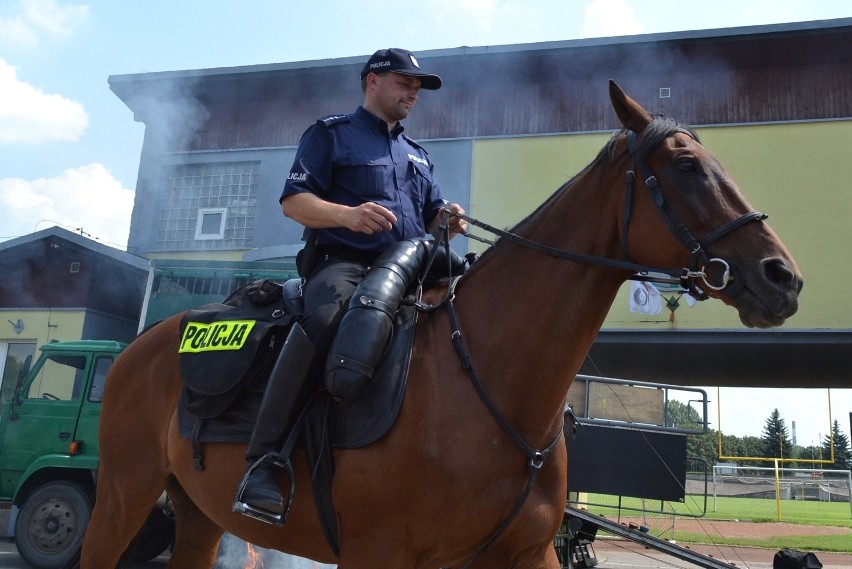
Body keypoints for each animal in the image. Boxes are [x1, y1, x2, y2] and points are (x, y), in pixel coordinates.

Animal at [78, 83, 800, 568]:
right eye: (686, 166)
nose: (782, 277)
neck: (486, 377)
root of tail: (138, 348)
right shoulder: (379, 555)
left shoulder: (526, 553)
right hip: (122, 496)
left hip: (196, 514)